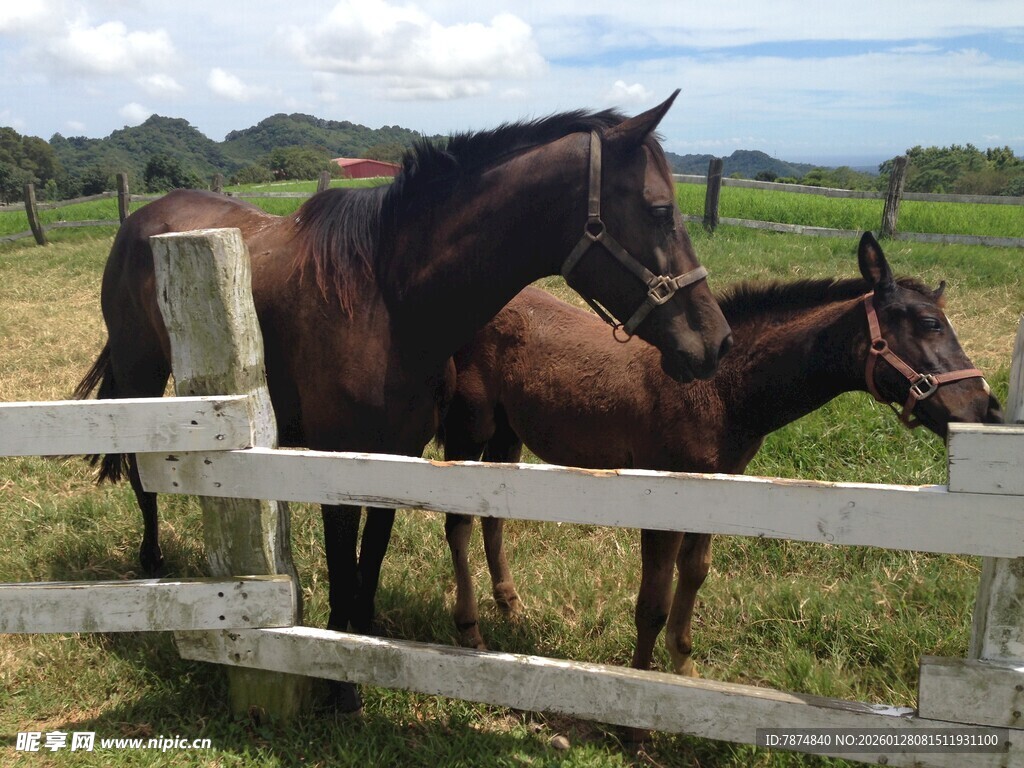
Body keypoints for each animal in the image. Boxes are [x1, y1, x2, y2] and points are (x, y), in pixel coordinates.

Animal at [72, 93, 732, 707]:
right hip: (139, 373)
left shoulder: (399, 458)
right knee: (139, 470)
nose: (717, 341)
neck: (386, 301)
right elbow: (345, 571)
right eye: (660, 210)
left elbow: (370, 567)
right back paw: (152, 559)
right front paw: (338, 684)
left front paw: (360, 659)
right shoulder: (337, 466)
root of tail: (142, 217)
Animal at [439, 232, 1002, 681]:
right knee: (457, 524)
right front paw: (638, 710)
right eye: (929, 323)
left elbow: (694, 575)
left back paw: (511, 606)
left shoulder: (715, 491)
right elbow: (653, 605)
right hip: (470, 427)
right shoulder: (662, 495)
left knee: (492, 515)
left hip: (507, 432)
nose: (985, 408)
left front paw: (684, 670)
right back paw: (469, 629)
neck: (721, 390)